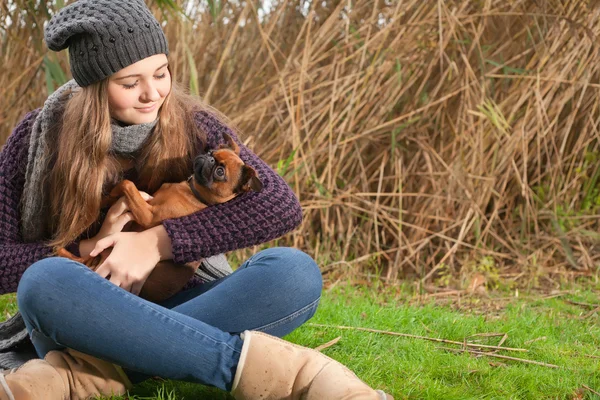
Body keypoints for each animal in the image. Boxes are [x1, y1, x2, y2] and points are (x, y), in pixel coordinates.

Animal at [57, 133, 262, 302]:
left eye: (220, 172)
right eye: (211, 151)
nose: (209, 157)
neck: (193, 192)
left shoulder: (148, 216)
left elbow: (127, 183)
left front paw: (108, 196)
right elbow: (127, 189)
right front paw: (106, 199)